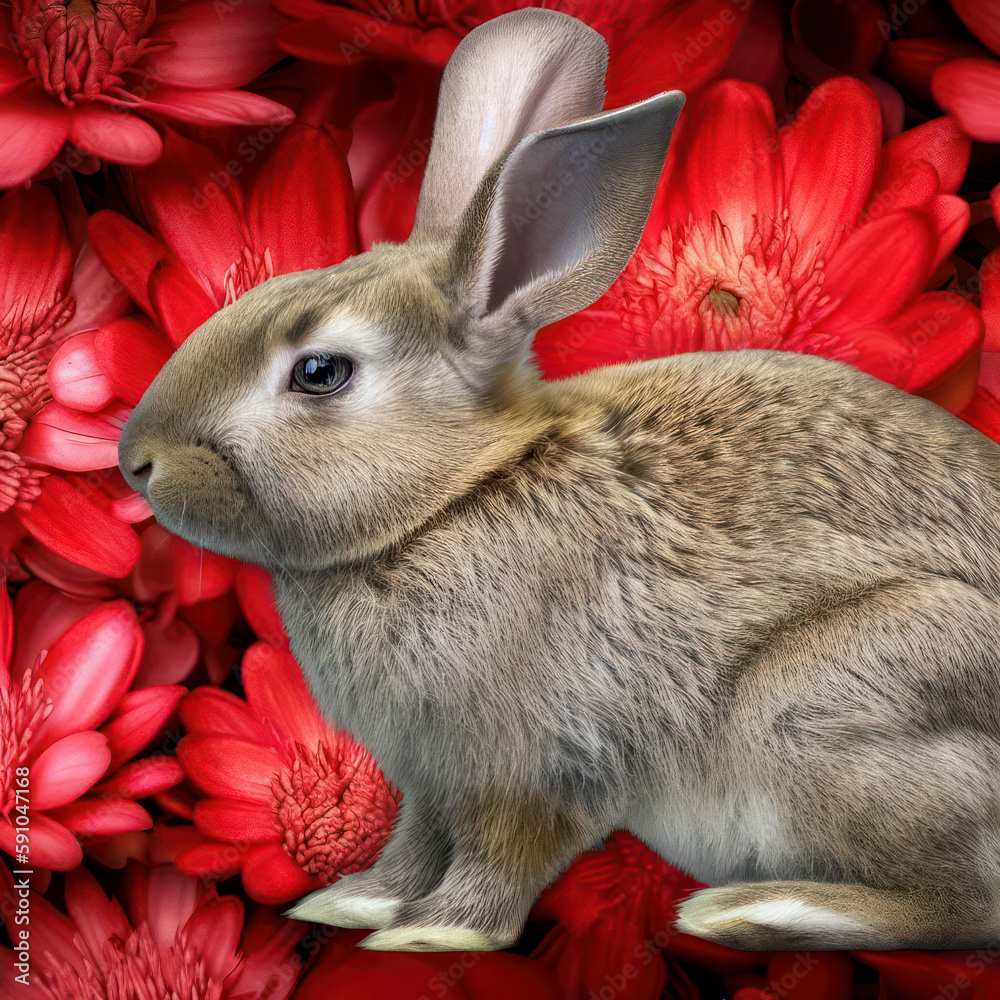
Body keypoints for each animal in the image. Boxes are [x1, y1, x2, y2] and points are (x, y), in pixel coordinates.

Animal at [117, 6, 1000, 954]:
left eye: (320, 373)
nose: (136, 461)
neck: (452, 500)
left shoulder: (530, 763)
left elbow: (501, 857)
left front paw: (436, 936)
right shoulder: (431, 777)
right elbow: (413, 842)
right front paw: (352, 903)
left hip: (829, 713)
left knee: (961, 902)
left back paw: (759, 911)